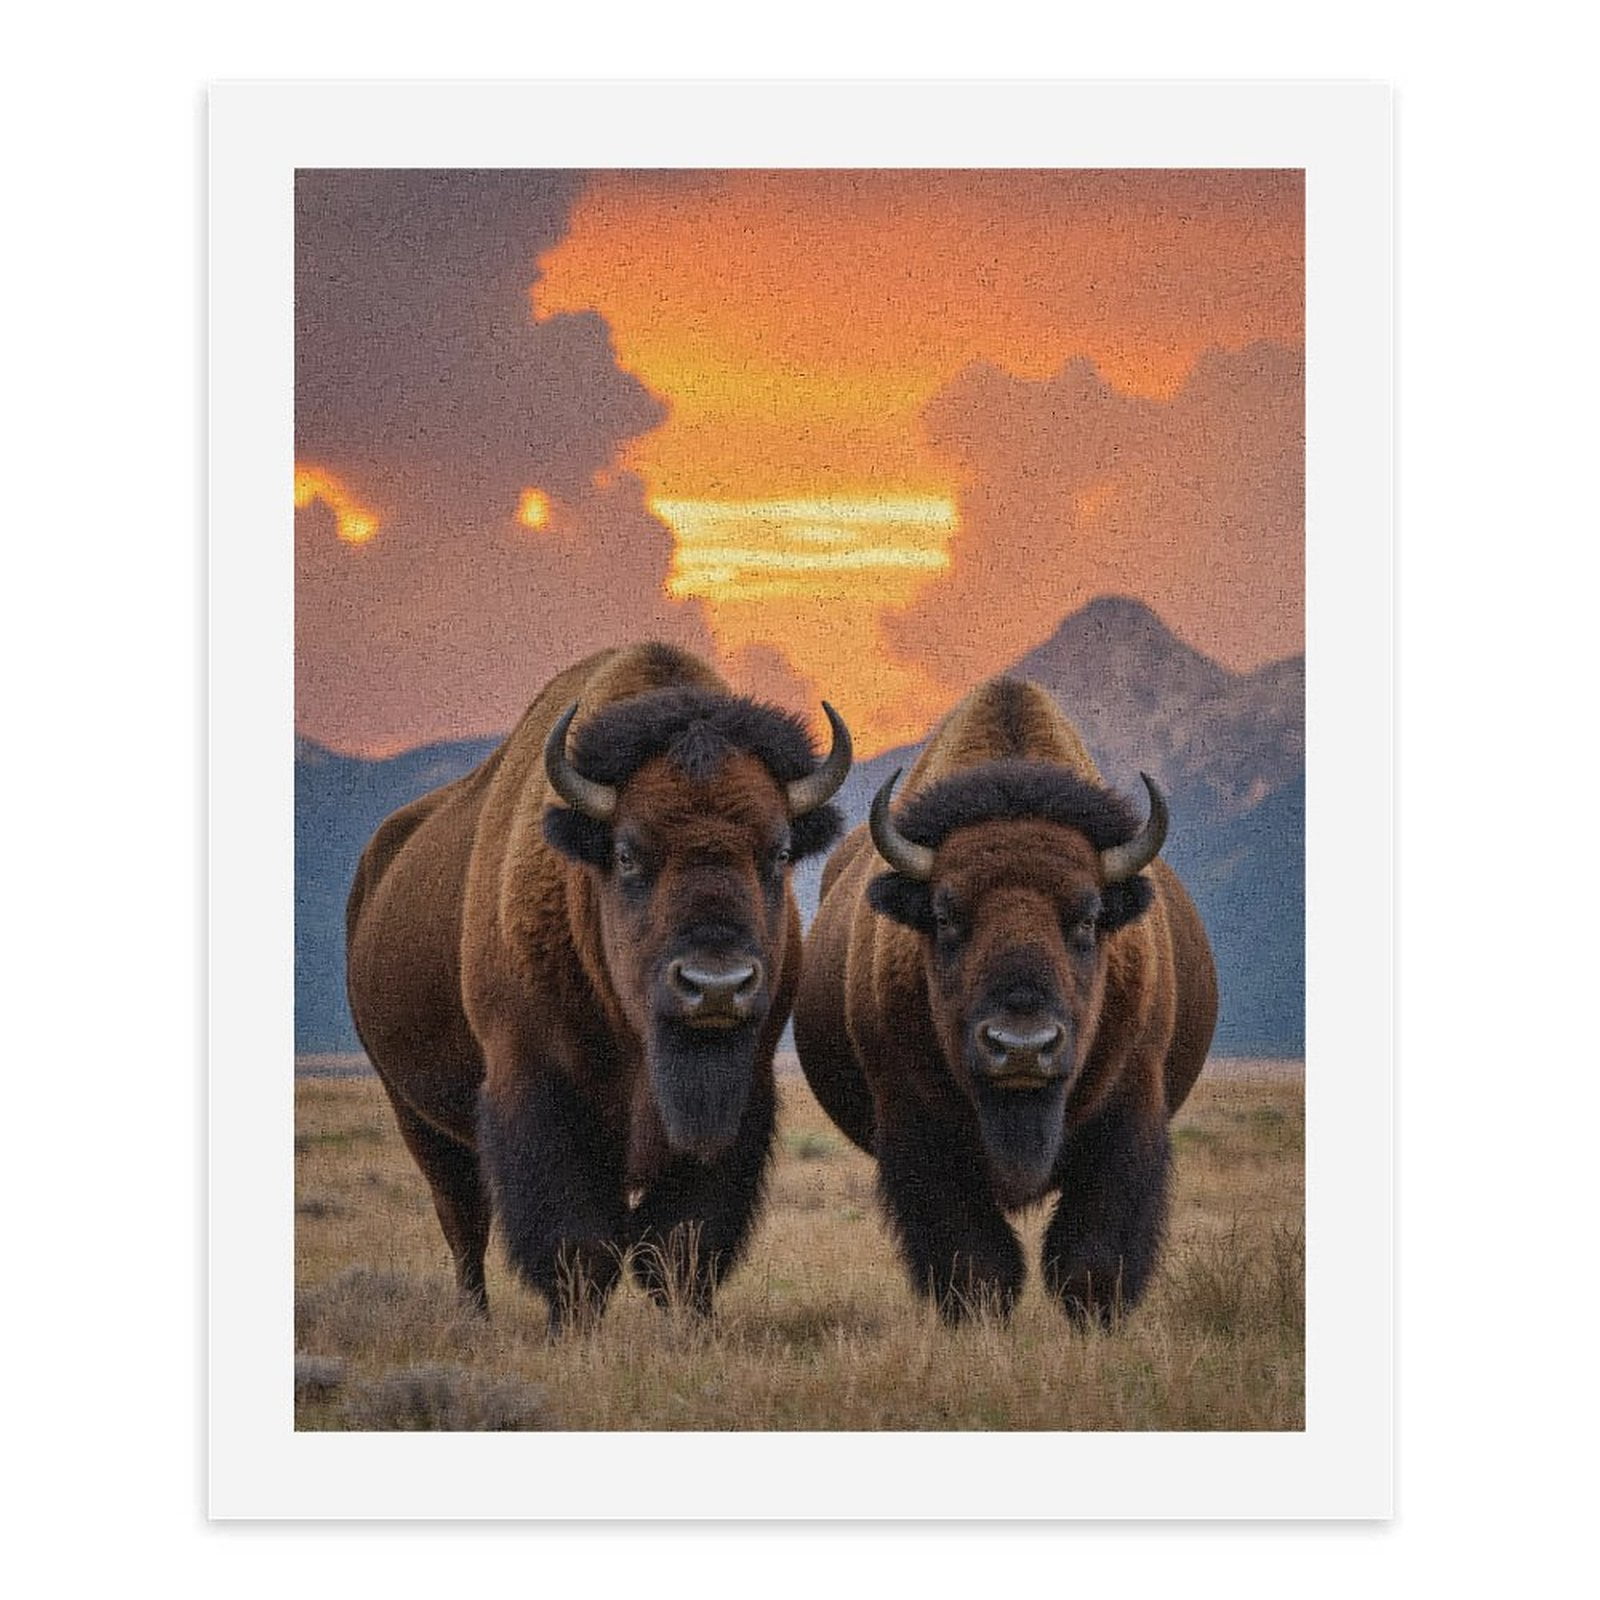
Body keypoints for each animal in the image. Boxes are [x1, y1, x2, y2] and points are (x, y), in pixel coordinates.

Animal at [345, 644, 851, 1328]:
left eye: (777, 852)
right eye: (629, 854)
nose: (716, 985)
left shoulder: (736, 1098)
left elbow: (683, 1240)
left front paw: (693, 1329)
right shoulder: (537, 1088)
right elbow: (579, 1243)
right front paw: (574, 1330)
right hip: (413, 1113)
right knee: (463, 1222)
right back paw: (474, 1319)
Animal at [794, 676, 1217, 1324]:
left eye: (1088, 918)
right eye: (945, 916)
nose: (1021, 1047)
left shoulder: (1129, 1116)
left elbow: (1092, 1261)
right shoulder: (917, 1130)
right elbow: (976, 1265)